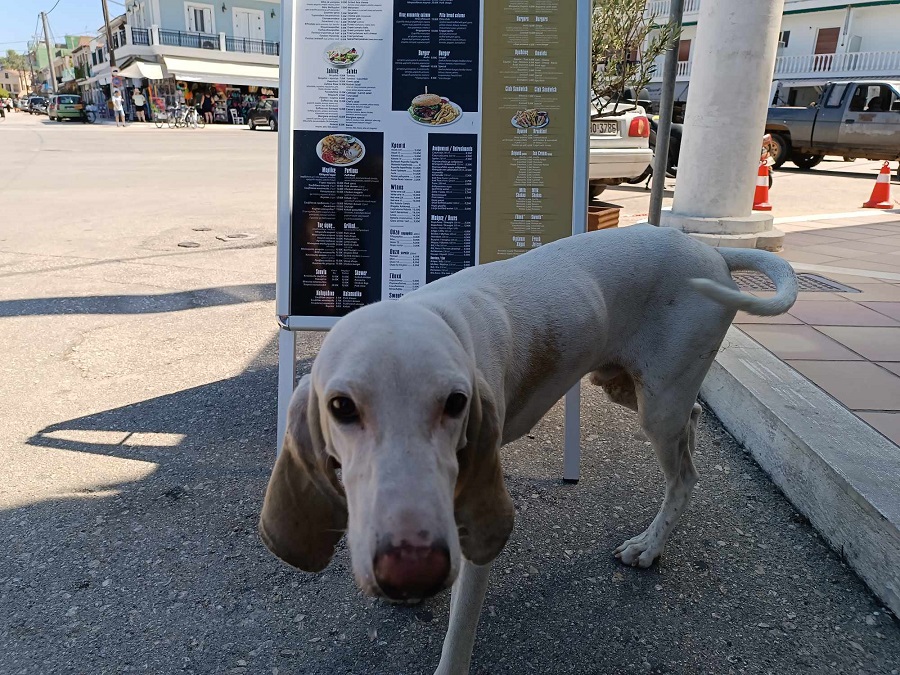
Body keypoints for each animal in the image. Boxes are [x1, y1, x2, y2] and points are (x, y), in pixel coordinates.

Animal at [259, 224, 797, 674]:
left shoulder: (474, 532)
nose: (412, 569)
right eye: (340, 407)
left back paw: (650, 545)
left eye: (456, 403)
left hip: (658, 406)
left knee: (684, 474)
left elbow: (459, 634)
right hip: (627, 387)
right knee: (694, 420)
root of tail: (709, 251)